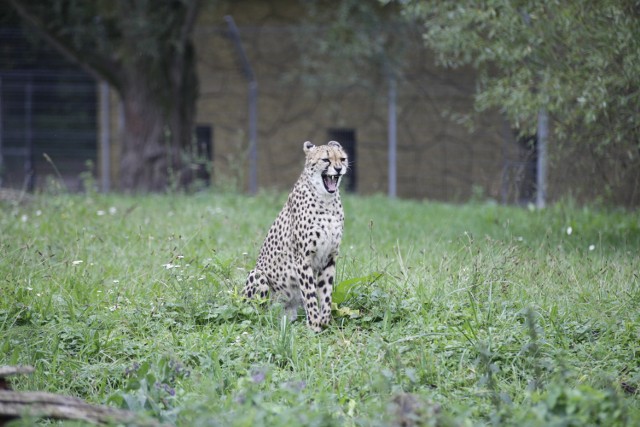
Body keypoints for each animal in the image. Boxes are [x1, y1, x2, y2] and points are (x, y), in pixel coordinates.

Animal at [242, 142, 348, 332]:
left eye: (342, 159)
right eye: (326, 159)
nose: (338, 168)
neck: (327, 200)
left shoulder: (329, 257)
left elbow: (326, 293)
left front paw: (325, 321)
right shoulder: (303, 259)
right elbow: (310, 294)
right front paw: (314, 325)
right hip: (258, 275)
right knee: (256, 313)